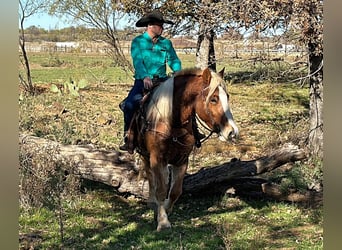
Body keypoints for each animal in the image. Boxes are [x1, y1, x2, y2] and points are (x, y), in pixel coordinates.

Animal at [127, 66, 238, 230]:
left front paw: (167, 209)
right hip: (145, 154)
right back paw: (152, 201)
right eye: (213, 99)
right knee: (150, 175)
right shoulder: (157, 158)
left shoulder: (181, 160)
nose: (232, 132)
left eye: (228, 97)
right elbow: (161, 190)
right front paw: (163, 221)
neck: (172, 123)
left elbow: (175, 191)